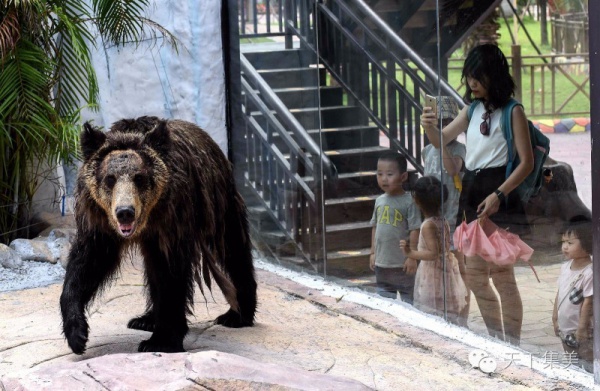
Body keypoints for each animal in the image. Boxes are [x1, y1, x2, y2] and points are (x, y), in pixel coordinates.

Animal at [59, 117, 256, 356]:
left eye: (139, 177)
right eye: (110, 178)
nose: (125, 212)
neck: (149, 218)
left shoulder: (172, 223)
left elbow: (171, 276)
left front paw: (161, 340)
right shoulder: (100, 223)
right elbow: (86, 265)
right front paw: (77, 334)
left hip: (219, 204)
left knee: (234, 251)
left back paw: (237, 314)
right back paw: (146, 319)